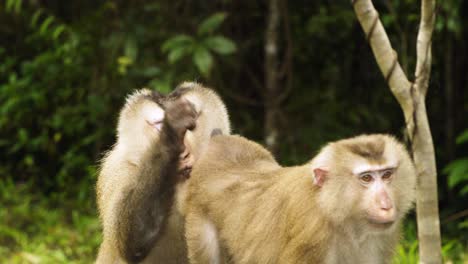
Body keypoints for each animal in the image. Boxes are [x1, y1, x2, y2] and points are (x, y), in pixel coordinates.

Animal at [96, 81, 231, 262]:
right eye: (160, 125)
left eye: (192, 125)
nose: (183, 153)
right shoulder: (118, 170)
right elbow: (131, 245)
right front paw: (170, 138)